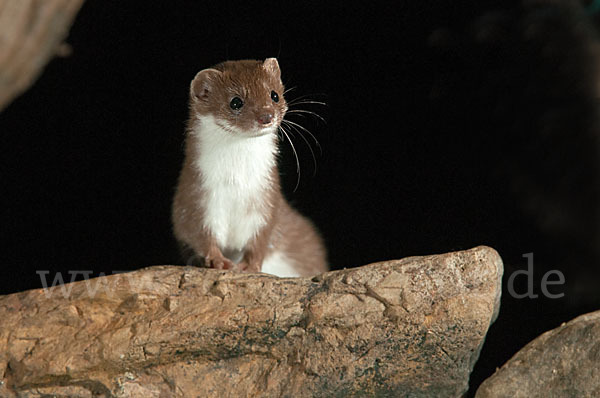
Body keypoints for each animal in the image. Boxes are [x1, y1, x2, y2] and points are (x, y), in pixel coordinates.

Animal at [169, 58, 328, 276]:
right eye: (236, 101)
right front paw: (217, 260)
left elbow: (263, 235)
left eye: (274, 94)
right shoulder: (193, 197)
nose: (266, 115)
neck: (237, 183)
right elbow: (198, 233)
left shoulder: (268, 199)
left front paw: (249, 265)